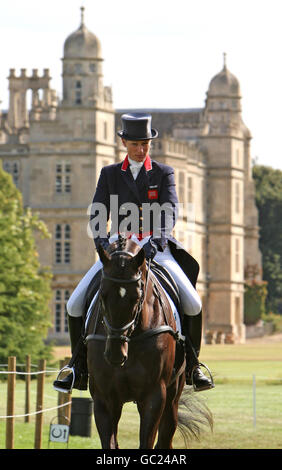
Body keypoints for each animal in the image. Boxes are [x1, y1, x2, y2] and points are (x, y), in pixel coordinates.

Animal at [85, 237, 213, 450]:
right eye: (102, 294)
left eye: (137, 296)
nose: (115, 354)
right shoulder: (104, 398)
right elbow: (110, 444)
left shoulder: (154, 395)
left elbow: (147, 442)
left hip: (172, 396)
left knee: (165, 439)